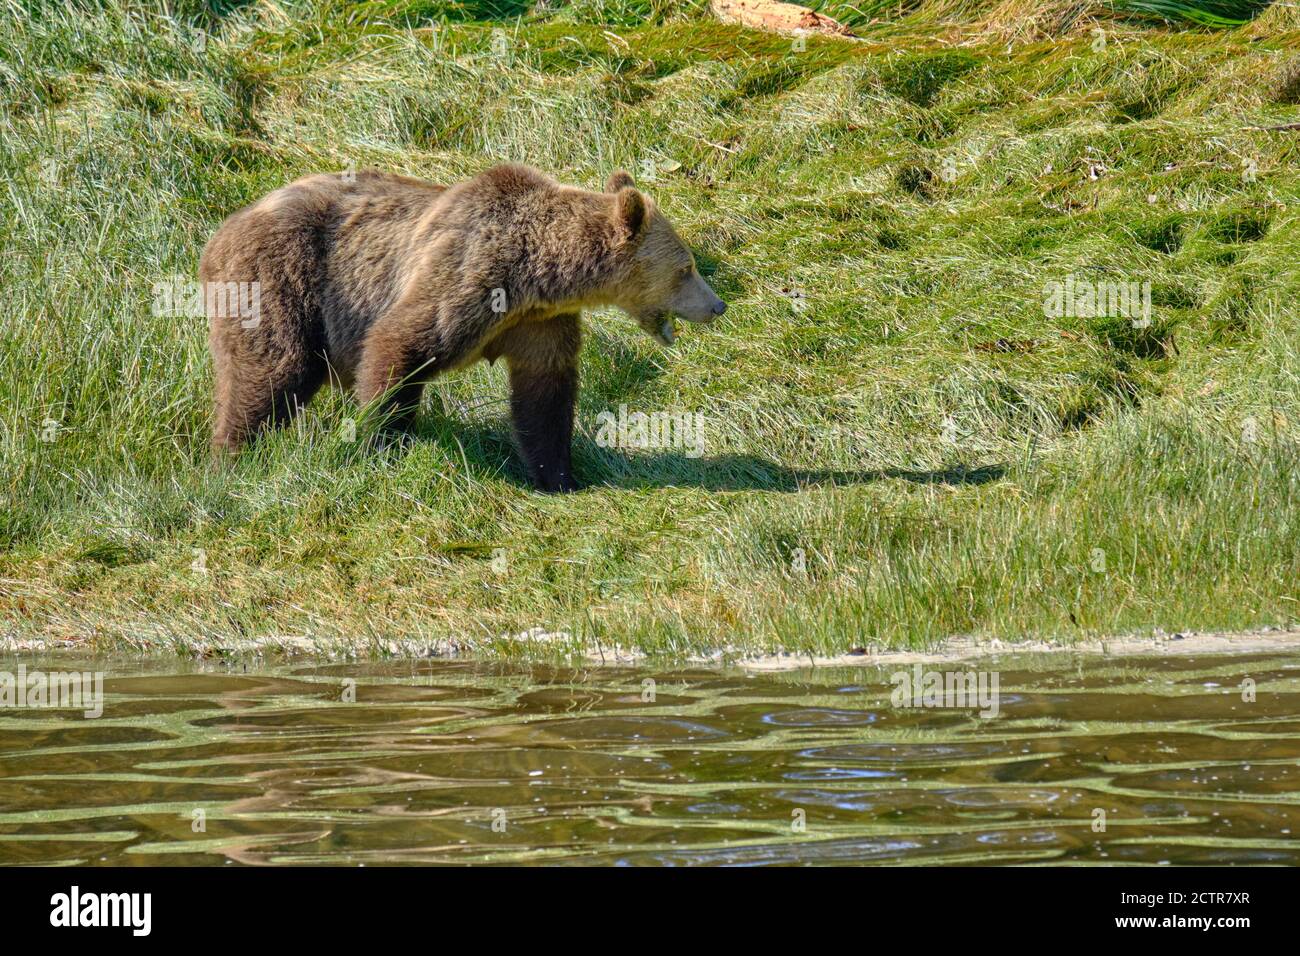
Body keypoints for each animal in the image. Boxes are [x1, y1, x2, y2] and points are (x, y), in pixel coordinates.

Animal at [200, 164, 727, 491]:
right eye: (686, 268)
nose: (717, 305)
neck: (539, 274)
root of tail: (219, 233)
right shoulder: (468, 273)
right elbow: (398, 347)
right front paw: (378, 446)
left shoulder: (538, 323)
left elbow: (544, 396)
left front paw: (559, 476)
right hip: (279, 279)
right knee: (271, 371)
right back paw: (232, 457)